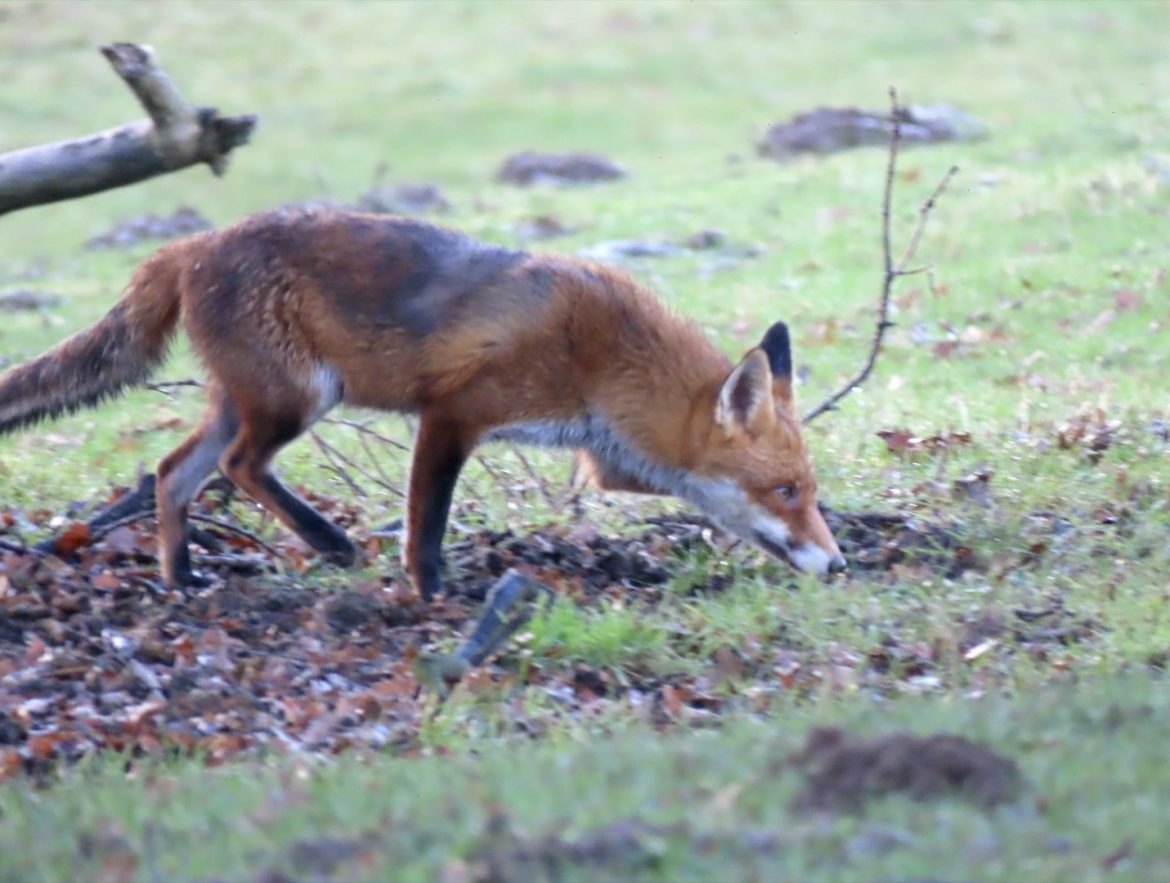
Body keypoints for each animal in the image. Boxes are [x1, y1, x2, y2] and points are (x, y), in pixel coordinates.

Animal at [0, 208, 845, 598]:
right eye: (785, 490)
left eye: (808, 491)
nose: (839, 563)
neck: (606, 355)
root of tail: (192, 244)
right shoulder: (453, 415)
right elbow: (427, 525)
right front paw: (432, 593)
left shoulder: (603, 448)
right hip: (298, 399)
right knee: (239, 466)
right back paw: (328, 542)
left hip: (247, 400)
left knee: (174, 472)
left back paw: (179, 578)